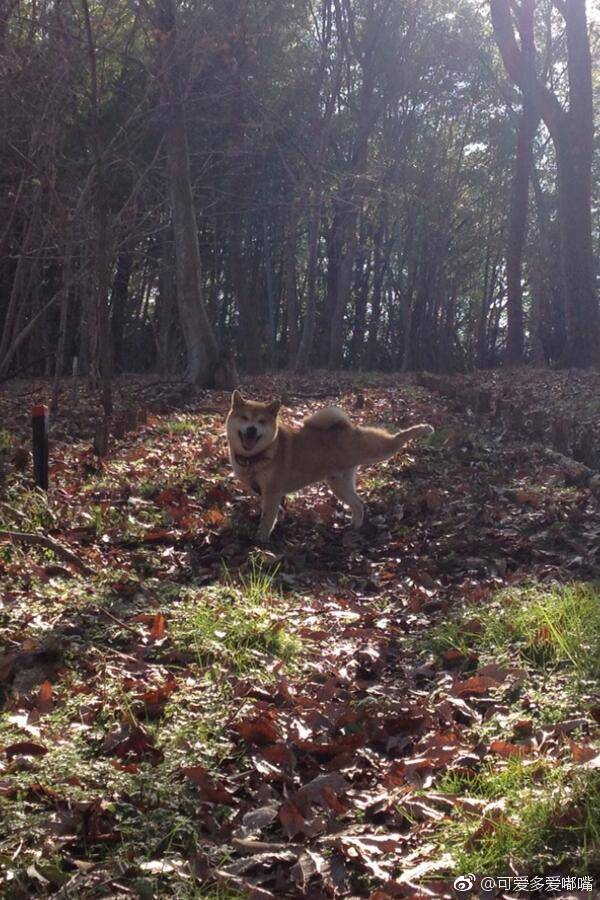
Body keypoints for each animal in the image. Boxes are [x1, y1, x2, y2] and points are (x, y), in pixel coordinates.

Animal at [225, 388, 432, 540]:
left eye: (261, 421)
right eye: (244, 418)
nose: (251, 430)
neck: (256, 457)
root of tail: (346, 426)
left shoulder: (273, 492)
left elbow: (267, 519)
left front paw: (260, 541)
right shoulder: (262, 491)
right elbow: (268, 512)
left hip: (375, 449)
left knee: (396, 440)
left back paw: (422, 429)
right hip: (339, 485)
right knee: (359, 504)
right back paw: (355, 527)